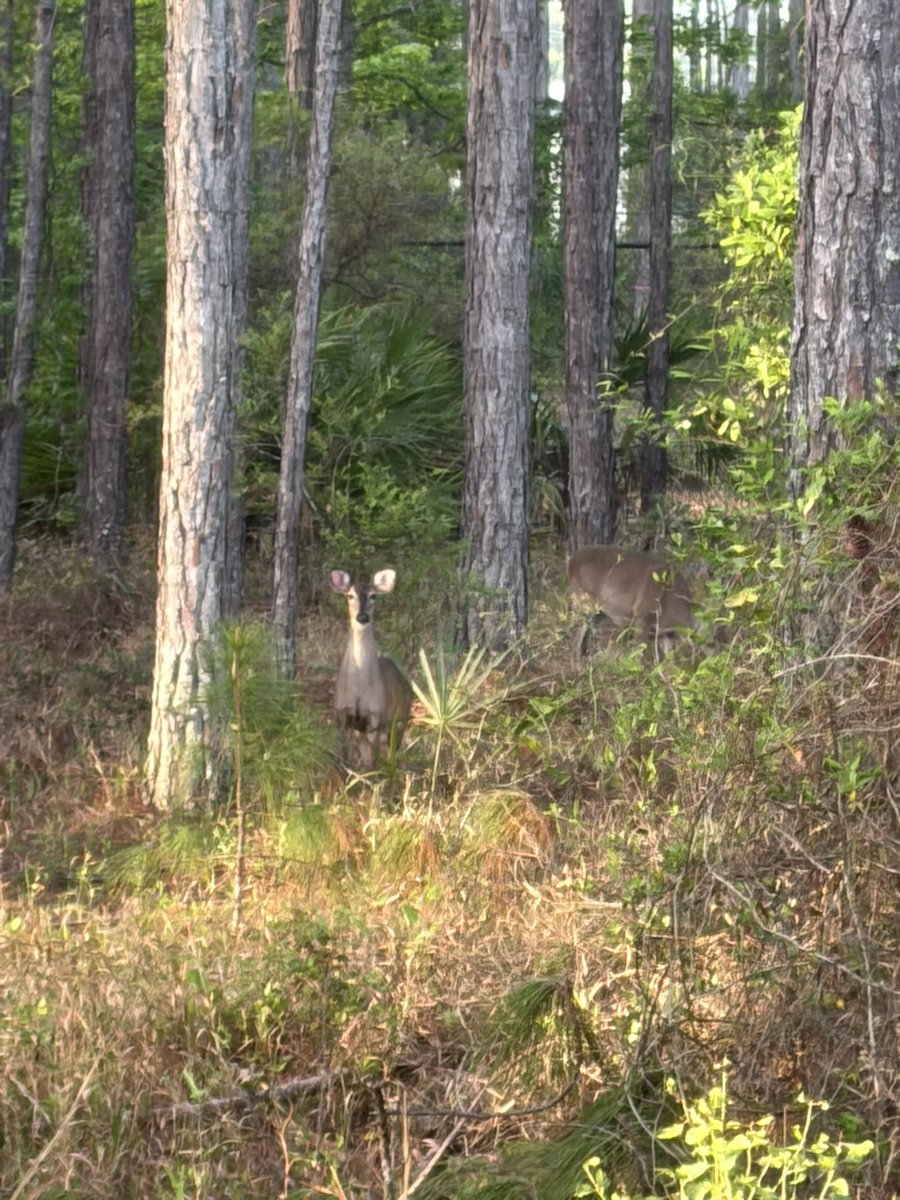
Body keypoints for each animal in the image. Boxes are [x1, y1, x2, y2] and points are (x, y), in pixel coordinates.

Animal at [329, 568, 413, 768]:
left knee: (391, 754)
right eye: (350, 595)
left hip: (400, 719)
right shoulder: (342, 717)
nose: (362, 617)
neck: (359, 693)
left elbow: (370, 765)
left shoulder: (375, 718)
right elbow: (346, 762)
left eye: (373, 595)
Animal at [568, 544, 697, 658]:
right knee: (578, 628)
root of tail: (571, 560)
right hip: (583, 599)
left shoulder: (665, 633)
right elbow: (638, 652)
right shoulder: (642, 616)